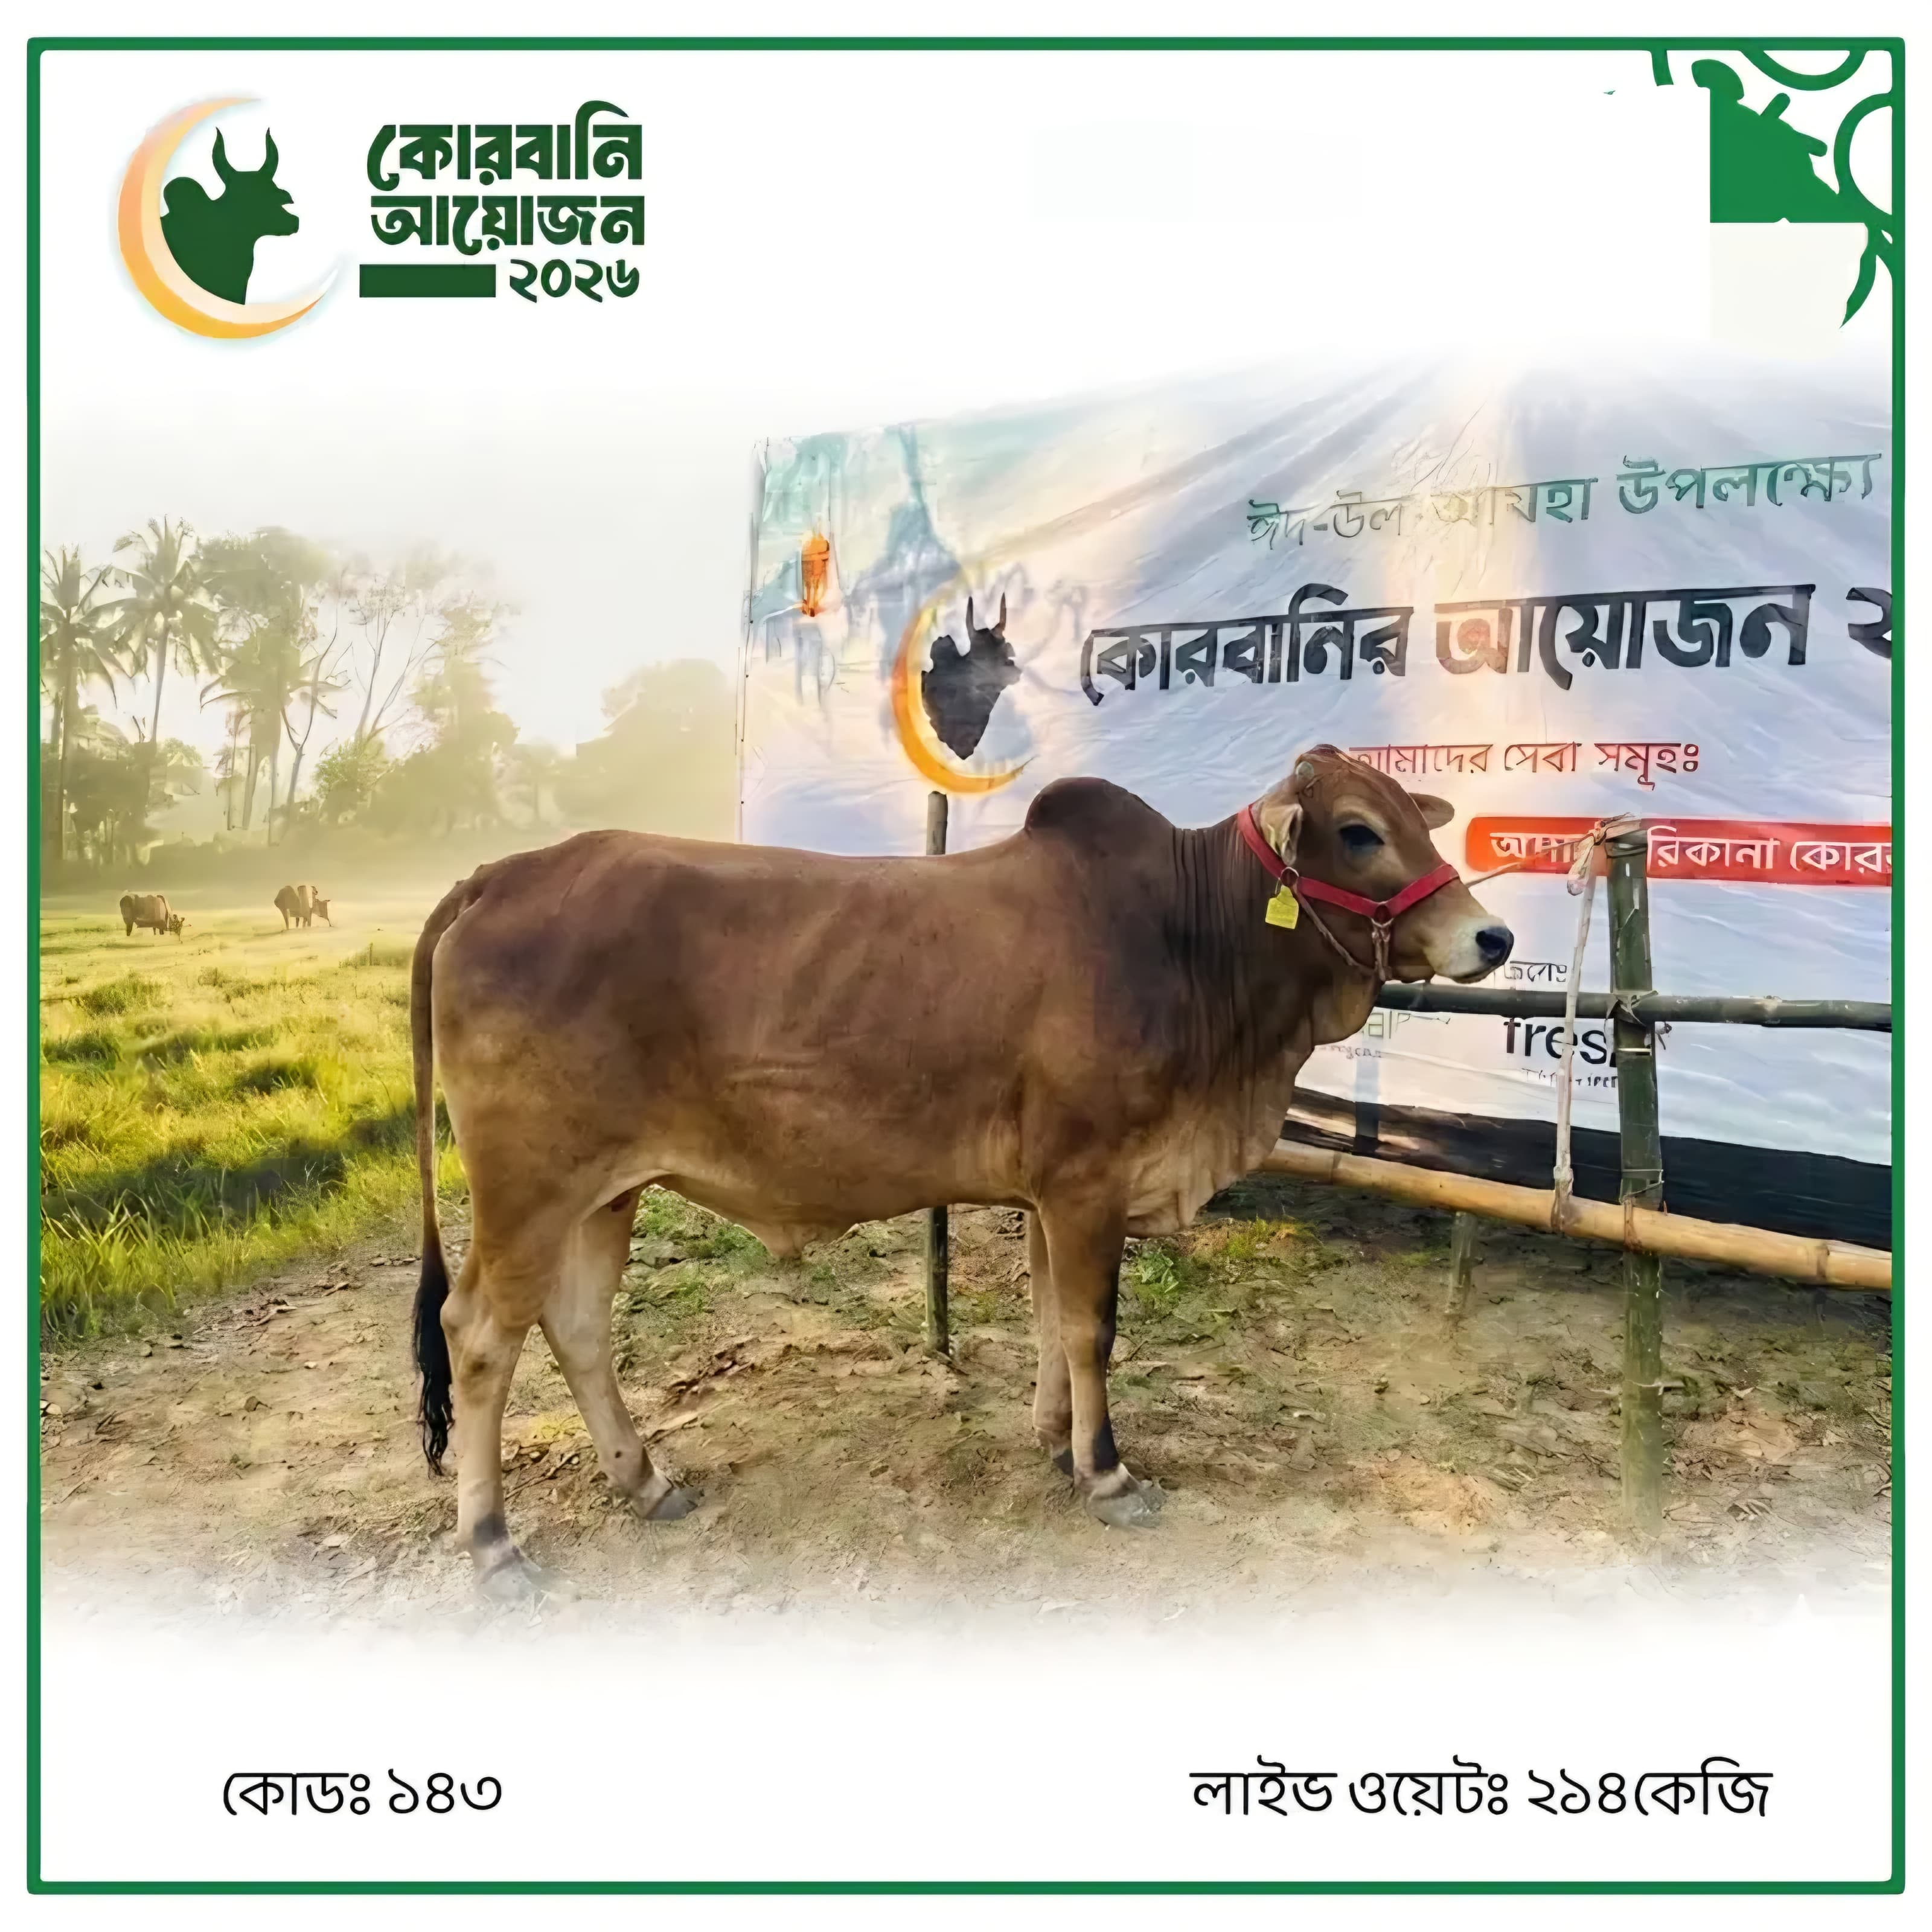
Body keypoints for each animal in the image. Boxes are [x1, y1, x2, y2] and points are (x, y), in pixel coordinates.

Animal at [408, 742, 1513, 1598]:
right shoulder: (1088, 1184)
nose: (1492, 935)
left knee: (578, 1328)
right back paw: (494, 1545)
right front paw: (1106, 1473)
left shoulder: (1052, 1192)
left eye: (1416, 820)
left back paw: (644, 1482)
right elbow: (1092, 1329)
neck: (1193, 943)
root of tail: (498, 874)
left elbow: (1051, 1322)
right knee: (478, 1339)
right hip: (527, 1189)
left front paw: (1053, 1438)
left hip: (604, 1193)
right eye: (1360, 832)